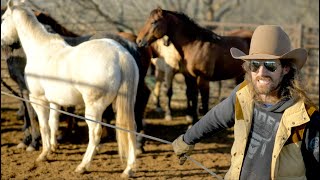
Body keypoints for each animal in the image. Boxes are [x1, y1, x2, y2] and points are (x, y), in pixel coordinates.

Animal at [1, 0, 139, 177]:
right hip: (125, 104)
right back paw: (128, 169)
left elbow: (43, 124)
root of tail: (120, 53)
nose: (2, 40)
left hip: (94, 107)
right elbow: (53, 122)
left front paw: (43, 154)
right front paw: (53, 148)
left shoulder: (37, 98)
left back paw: (83, 166)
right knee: (130, 128)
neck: (40, 49)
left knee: (95, 133)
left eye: (3, 18)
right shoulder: (54, 100)